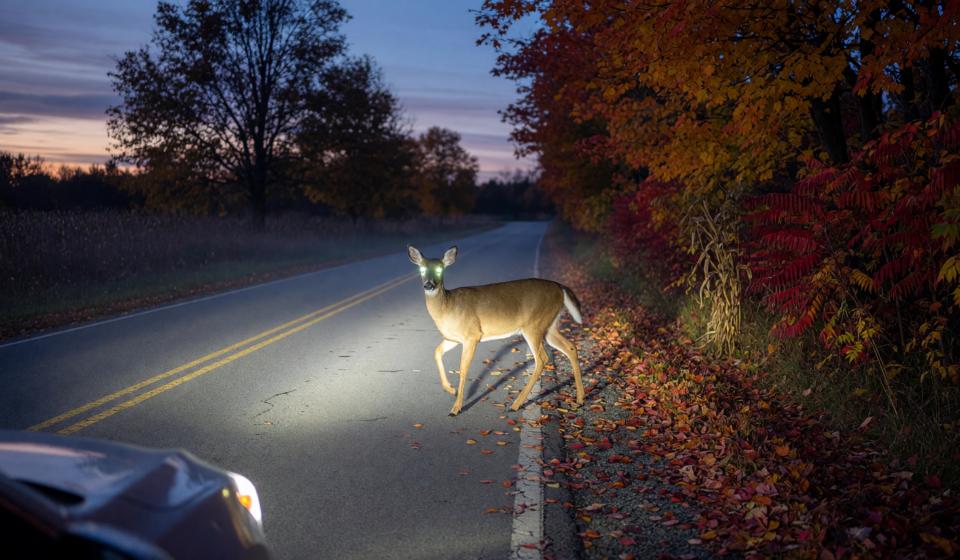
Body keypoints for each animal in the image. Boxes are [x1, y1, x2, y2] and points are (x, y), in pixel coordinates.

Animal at [407, 244, 585, 416]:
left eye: (439, 269)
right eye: (421, 269)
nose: (429, 285)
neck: (447, 307)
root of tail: (560, 287)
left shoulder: (472, 334)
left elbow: (463, 368)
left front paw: (456, 408)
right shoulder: (453, 338)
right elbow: (437, 352)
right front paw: (451, 389)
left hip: (533, 325)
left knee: (542, 359)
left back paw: (516, 404)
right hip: (549, 326)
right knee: (570, 347)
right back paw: (580, 399)